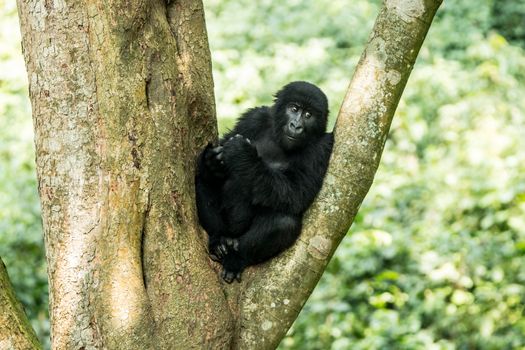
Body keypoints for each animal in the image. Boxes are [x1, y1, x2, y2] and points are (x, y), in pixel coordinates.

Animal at [194, 80, 334, 284]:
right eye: (294, 108)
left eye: (309, 115)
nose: (296, 125)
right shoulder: (254, 118)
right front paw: (212, 162)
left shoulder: (323, 146)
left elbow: (297, 193)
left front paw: (242, 154)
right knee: (202, 182)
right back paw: (218, 239)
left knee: (284, 223)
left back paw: (236, 259)